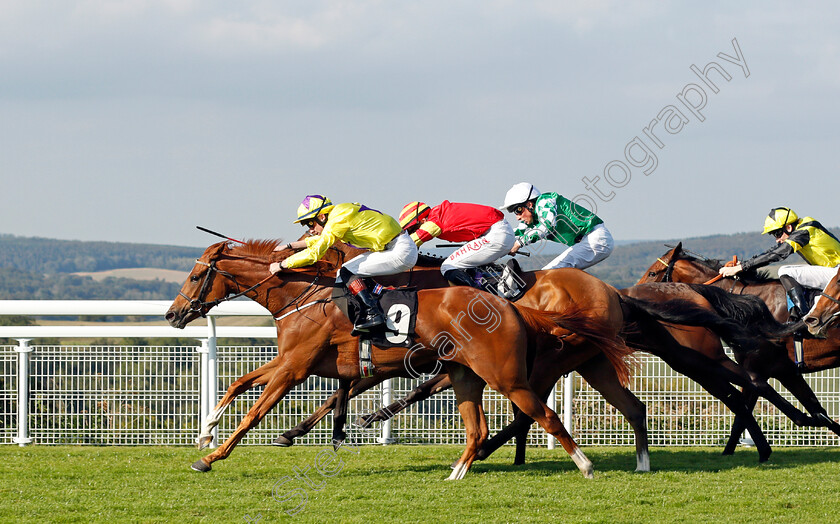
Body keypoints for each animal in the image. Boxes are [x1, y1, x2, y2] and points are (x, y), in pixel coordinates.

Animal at [166, 241, 636, 478]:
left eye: (196, 274)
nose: (173, 314)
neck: (308, 295)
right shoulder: (295, 361)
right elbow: (238, 384)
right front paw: (205, 432)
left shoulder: (296, 367)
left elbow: (256, 411)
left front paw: (211, 455)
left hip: (530, 368)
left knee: (535, 413)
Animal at [636, 242, 840, 450]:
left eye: (652, 273)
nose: (635, 293)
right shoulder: (786, 372)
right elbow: (817, 408)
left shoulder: (757, 369)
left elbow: (741, 418)